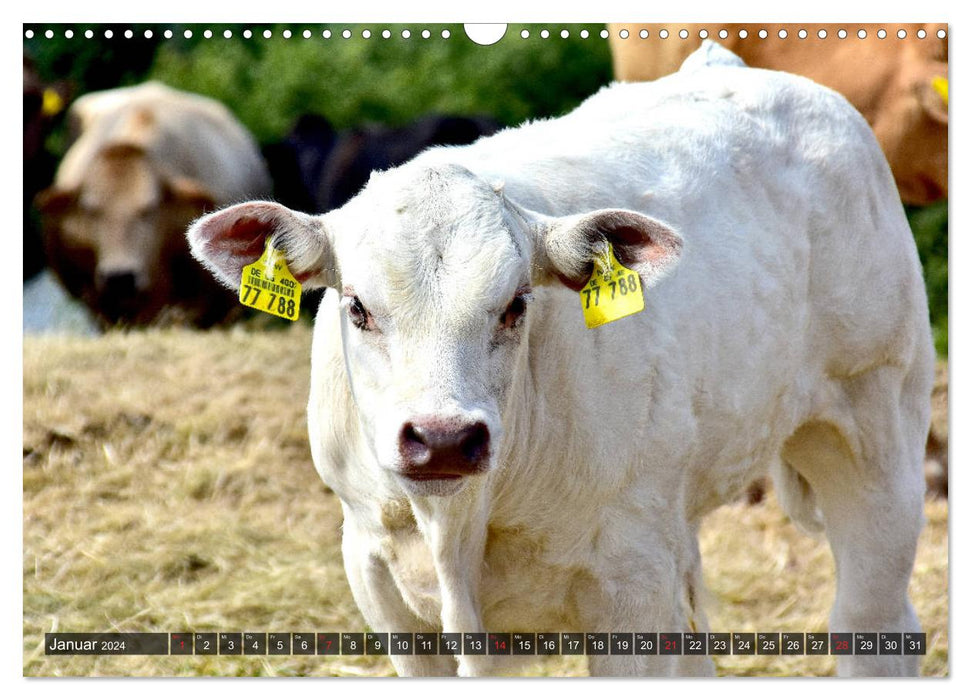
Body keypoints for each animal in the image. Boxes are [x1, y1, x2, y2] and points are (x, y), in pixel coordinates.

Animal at [188, 42, 936, 672]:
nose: (443, 438)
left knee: (872, 620)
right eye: (358, 308)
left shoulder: (630, 588)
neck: (458, 525)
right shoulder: (383, 585)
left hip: (876, 432)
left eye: (517, 304)